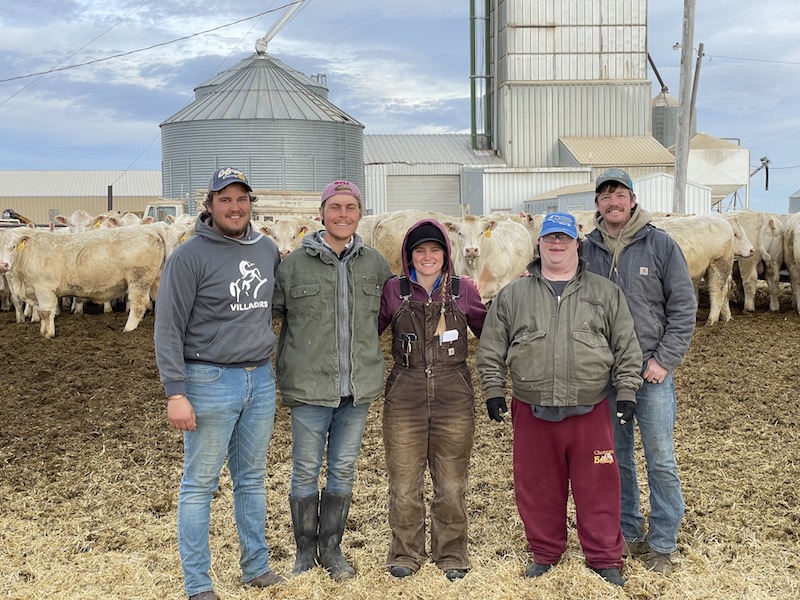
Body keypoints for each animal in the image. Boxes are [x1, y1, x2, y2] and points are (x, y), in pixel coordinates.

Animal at [0, 226, 166, 338]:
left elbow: (46, 313)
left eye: (13, 246)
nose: (3, 264)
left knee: (139, 304)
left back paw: (128, 329)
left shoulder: (44, 289)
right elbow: (41, 314)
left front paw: (48, 334)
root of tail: (151, 229)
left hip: (139, 279)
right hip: (157, 279)